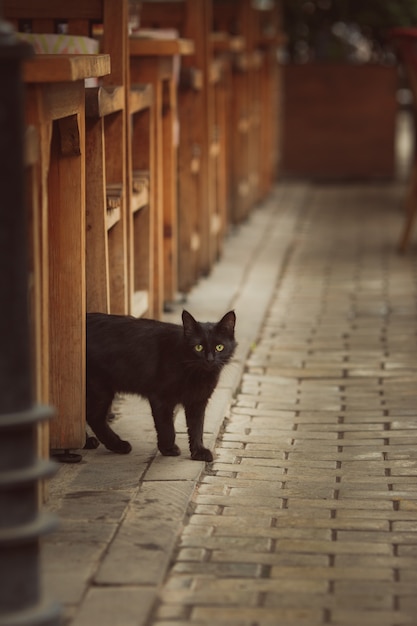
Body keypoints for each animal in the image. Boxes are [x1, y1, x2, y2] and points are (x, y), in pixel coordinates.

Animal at [86, 310, 236, 460]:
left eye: (219, 347)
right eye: (198, 347)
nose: (210, 360)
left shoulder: (197, 401)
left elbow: (197, 428)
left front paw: (198, 451)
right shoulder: (161, 398)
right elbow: (167, 426)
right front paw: (168, 448)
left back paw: (91, 443)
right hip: (100, 390)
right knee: (94, 418)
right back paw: (117, 445)